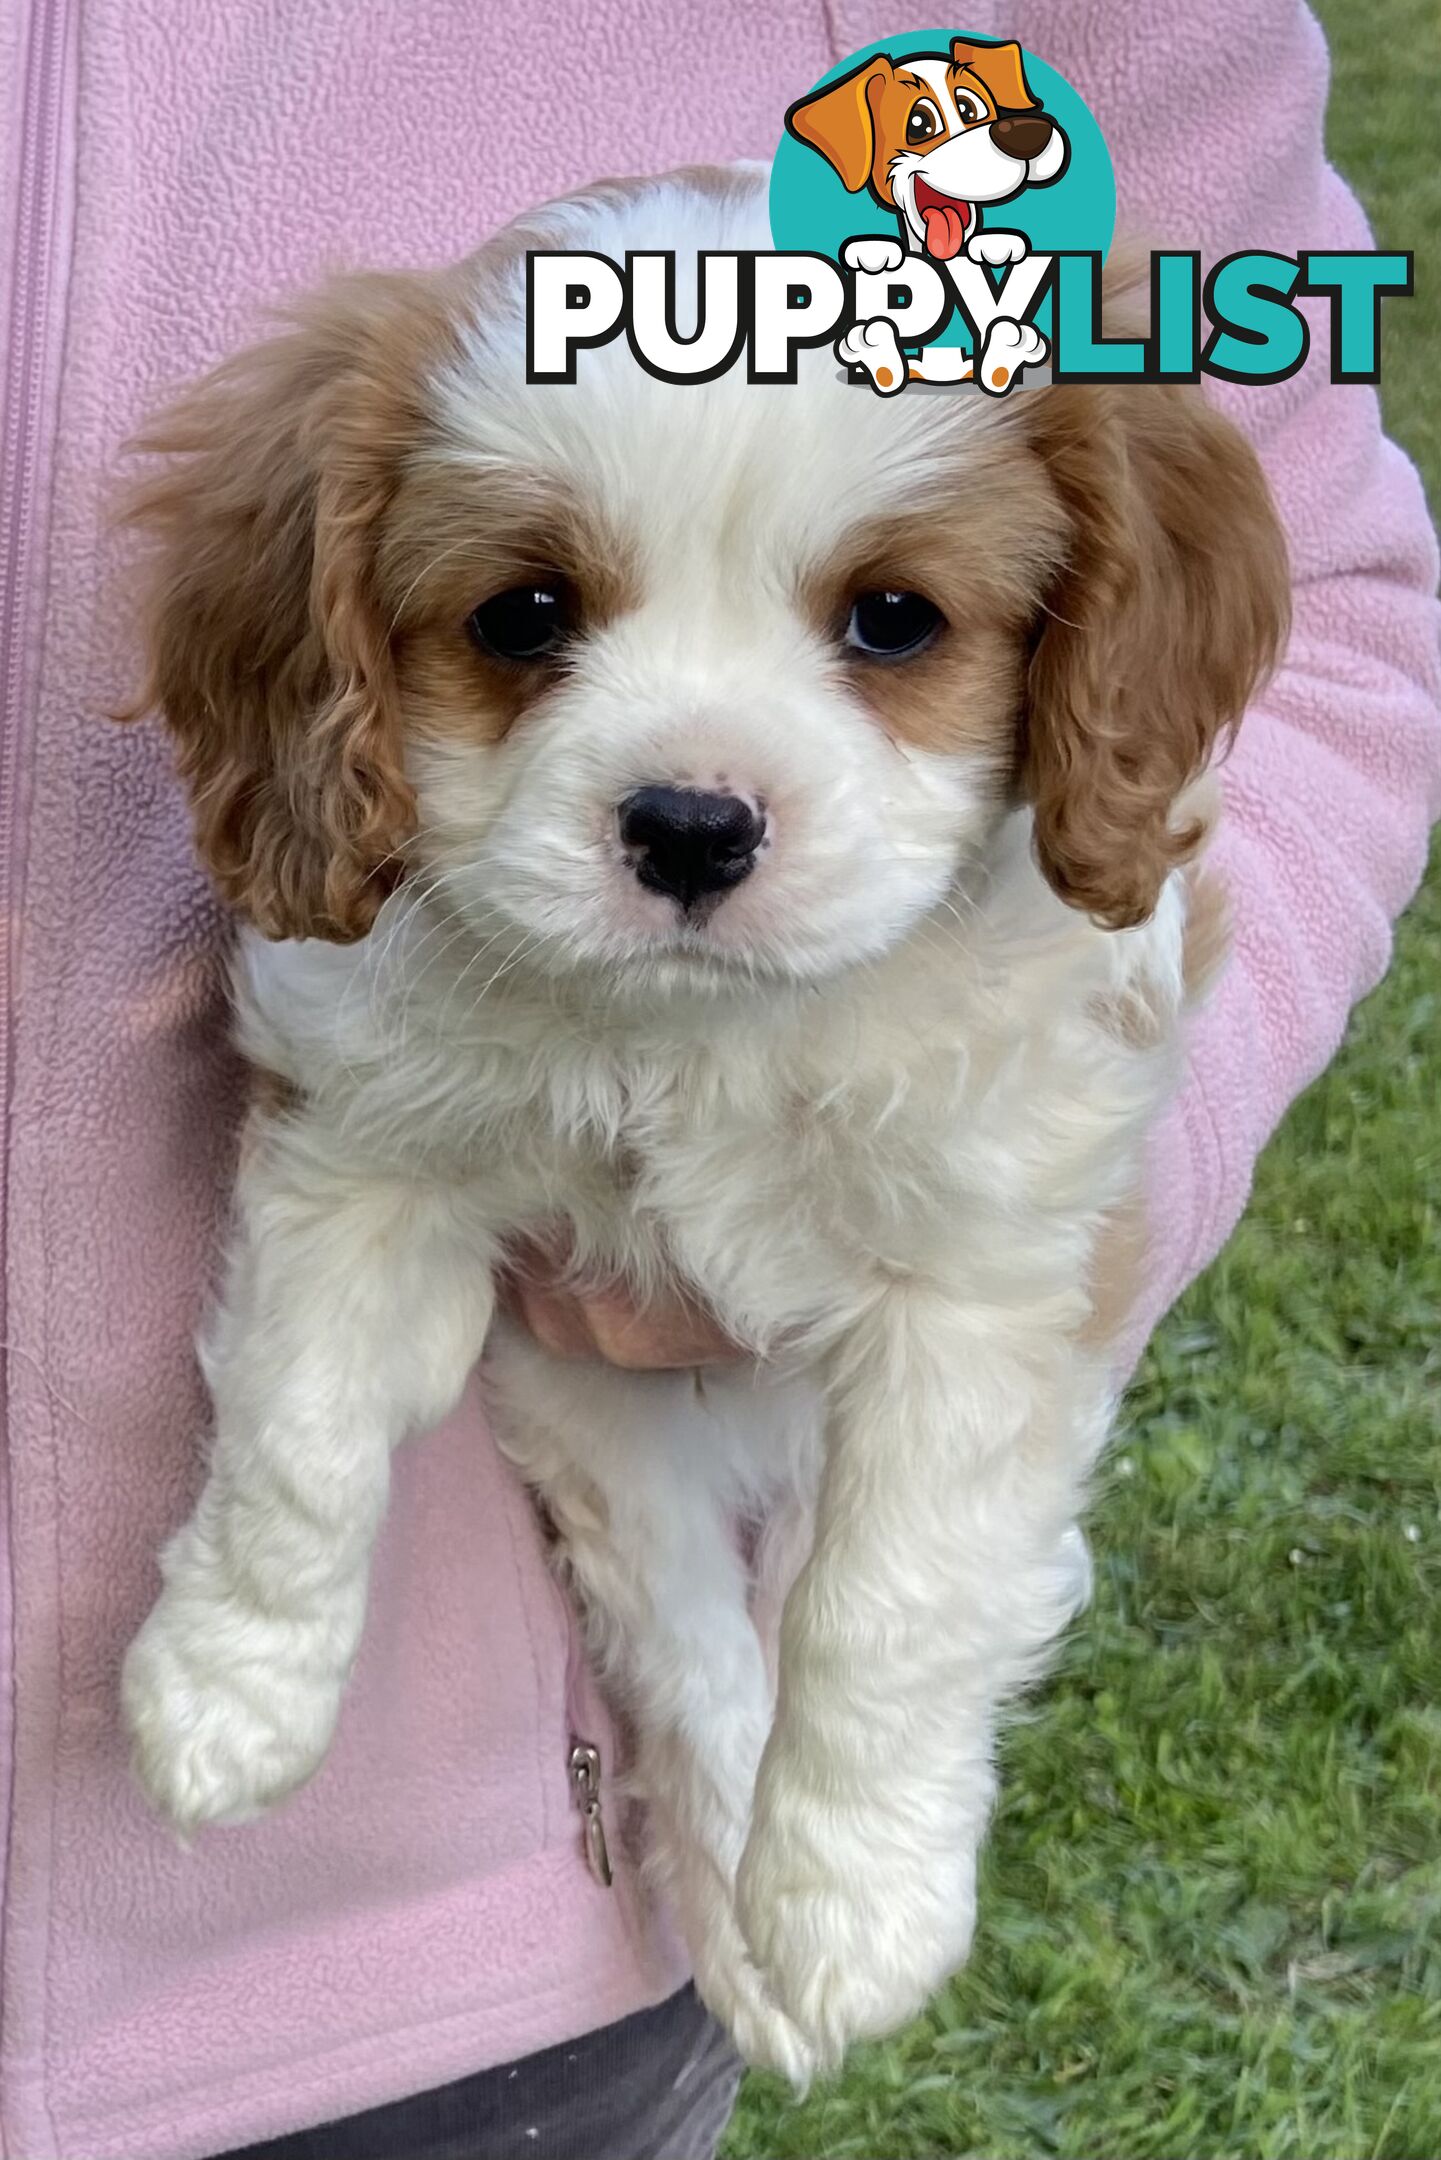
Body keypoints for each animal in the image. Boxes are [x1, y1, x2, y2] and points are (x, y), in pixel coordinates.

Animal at [118, 159, 1287, 2082]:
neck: (697, 1040)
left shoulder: (982, 1289)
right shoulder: (360, 1155)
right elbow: (298, 1436)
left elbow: (889, 1608)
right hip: (588, 1398)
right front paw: (225, 1689)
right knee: (681, 1620)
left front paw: (855, 1905)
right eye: (524, 615)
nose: (687, 824)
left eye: (894, 620)